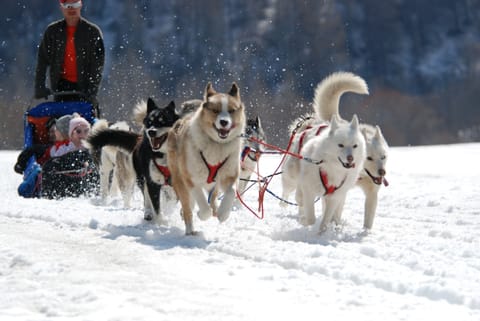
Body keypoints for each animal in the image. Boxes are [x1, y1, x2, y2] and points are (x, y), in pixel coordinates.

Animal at [167, 81, 246, 234]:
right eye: (215, 111)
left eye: (231, 110)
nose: (224, 122)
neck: (216, 144)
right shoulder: (191, 178)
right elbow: (202, 204)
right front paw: (202, 214)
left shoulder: (230, 175)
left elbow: (231, 191)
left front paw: (223, 213)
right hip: (179, 180)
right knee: (188, 208)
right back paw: (190, 230)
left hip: (213, 185)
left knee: (212, 198)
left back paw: (216, 209)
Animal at [280, 72, 370, 232]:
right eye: (340, 145)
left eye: (355, 146)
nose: (350, 158)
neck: (332, 169)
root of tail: (309, 125)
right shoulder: (309, 189)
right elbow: (310, 217)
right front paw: (306, 222)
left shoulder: (334, 196)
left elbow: (326, 220)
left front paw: (323, 231)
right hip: (291, 176)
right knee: (291, 193)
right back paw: (285, 206)